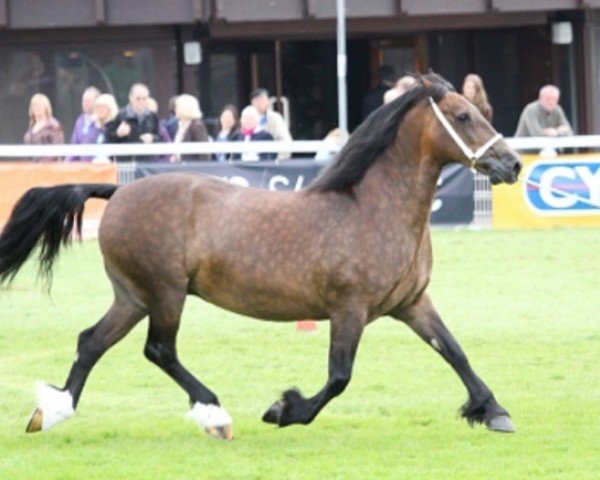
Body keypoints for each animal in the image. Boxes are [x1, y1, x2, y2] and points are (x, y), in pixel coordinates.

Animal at [0, 74, 520, 438]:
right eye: (462, 115)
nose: (512, 164)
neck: (371, 209)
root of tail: (119, 190)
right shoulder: (348, 309)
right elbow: (339, 377)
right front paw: (284, 410)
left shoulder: (411, 303)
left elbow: (454, 351)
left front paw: (493, 411)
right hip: (165, 293)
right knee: (159, 350)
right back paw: (214, 415)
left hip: (133, 296)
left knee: (92, 341)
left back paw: (52, 411)